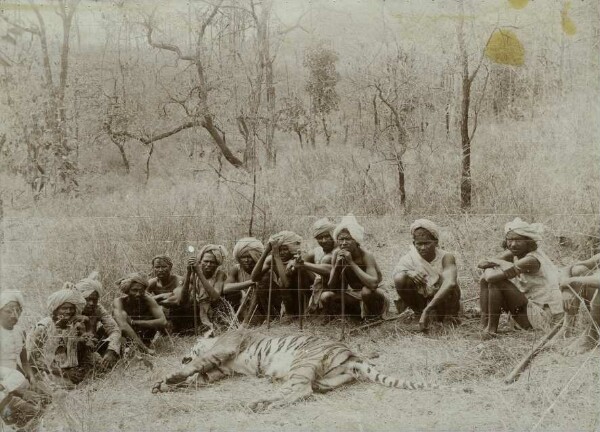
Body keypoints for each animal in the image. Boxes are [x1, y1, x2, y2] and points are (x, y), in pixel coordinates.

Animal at [152, 330, 442, 410]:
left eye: (192, 344)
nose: (182, 356)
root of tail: (351, 354)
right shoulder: (219, 371)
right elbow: (197, 378)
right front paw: (162, 386)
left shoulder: (223, 350)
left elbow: (196, 366)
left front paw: (168, 377)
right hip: (327, 378)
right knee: (307, 390)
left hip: (301, 364)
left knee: (300, 391)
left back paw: (259, 404)